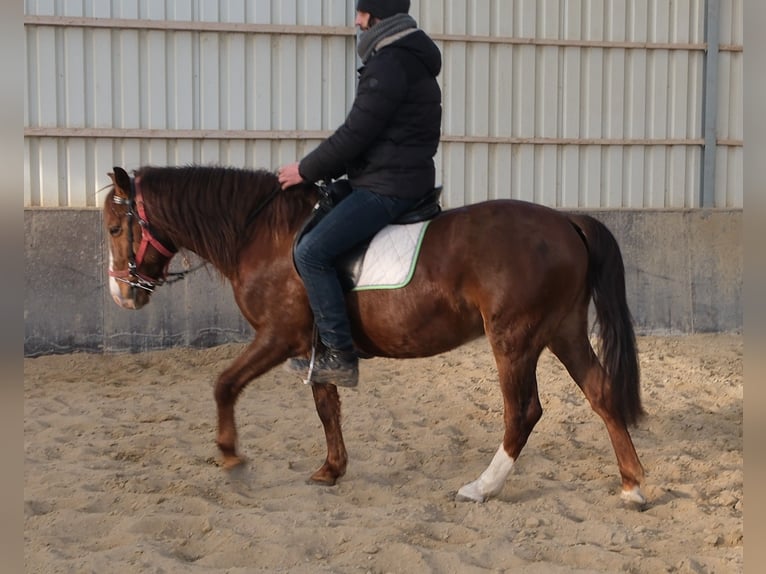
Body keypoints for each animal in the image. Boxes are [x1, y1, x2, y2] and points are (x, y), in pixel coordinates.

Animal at [102, 164, 646, 505]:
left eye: (112, 227)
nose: (122, 295)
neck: (263, 236)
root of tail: (566, 222)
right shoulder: (315, 347)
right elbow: (326, 405)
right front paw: (331, 469)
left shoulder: (277, 337)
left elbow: (225, 385)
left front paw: (232, 458)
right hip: (563, 331)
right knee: (601, 393)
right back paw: (632, 485)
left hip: (514, 339)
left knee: (523, 411)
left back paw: (481, 488)